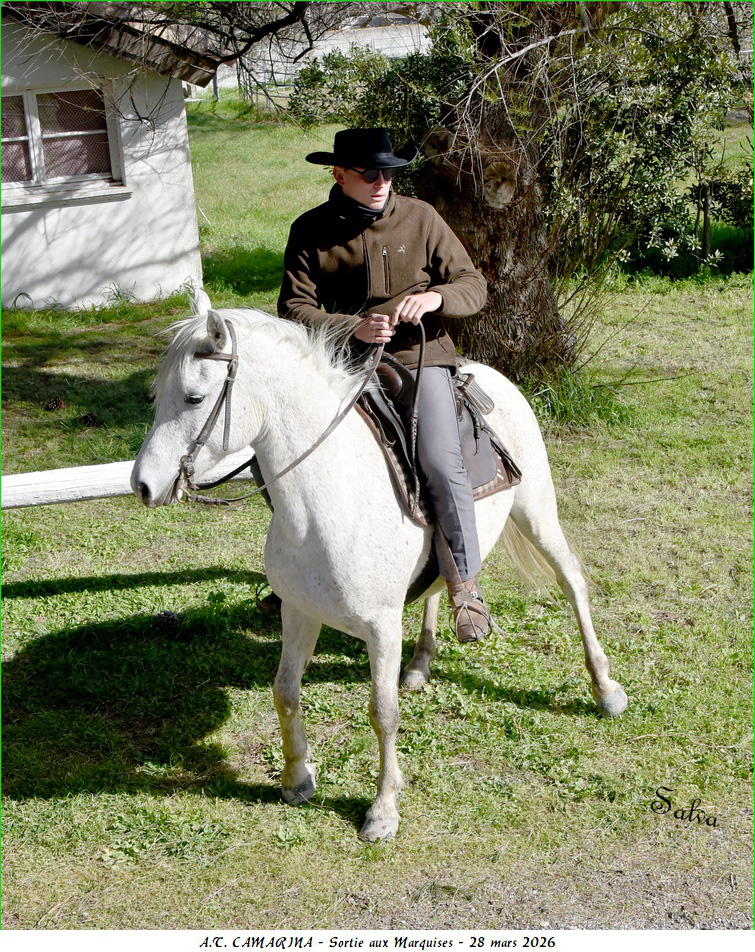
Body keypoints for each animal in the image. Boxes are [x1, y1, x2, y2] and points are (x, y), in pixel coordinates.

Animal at [131, 292, 628, 841]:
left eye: (195, 398)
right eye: (156, 394)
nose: (143, 485)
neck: (327, 500)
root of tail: (487, 374)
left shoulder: (382, 627)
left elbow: (382, 713)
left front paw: (383, 809)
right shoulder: (298, 612)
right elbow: (285, 692)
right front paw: (296, 778)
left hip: (537, 512)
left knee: (572, 581)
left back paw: (605, 690)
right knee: (441, 586)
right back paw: (421, 664)